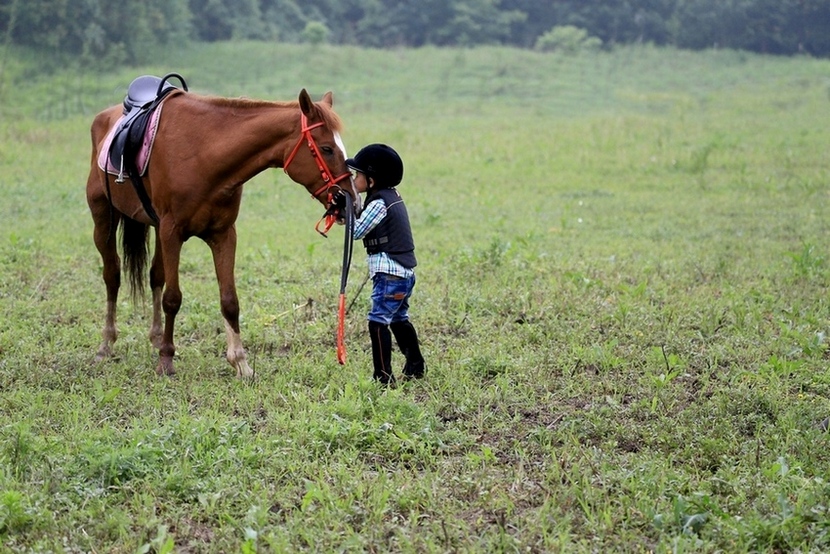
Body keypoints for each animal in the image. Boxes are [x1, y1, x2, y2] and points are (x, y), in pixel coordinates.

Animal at [86, 83, 362, 376]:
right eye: (327, 148)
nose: (352, 201)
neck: (204, 154)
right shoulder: (172, 232)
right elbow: (173, 298)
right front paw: (166, 359)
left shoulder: (223, 234)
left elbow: (230, 301)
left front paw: (240, 362)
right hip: (103, 218)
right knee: (112, 276)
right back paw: (106, 345)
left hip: (156, 227)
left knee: (155, 277)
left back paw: (156, 337)